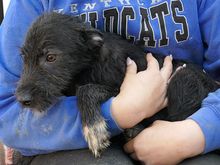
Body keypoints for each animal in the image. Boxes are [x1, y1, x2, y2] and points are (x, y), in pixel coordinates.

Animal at [15, 11, 218, 162]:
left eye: (51, 57)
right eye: (23, 56)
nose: (22, 100)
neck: (89, 64)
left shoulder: (121, 88)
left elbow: (86, 90)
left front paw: (93, 129)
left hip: (183, 78)